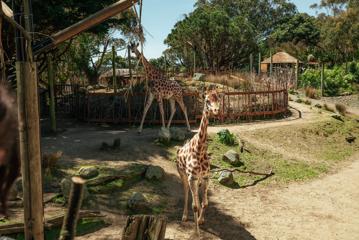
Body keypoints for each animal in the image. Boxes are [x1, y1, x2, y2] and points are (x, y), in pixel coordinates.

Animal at [176, 89, 221, 233]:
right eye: (207, 100)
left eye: (218, 99)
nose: (216, 110)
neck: (199, 150)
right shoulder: (192, 178)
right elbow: (194, 205)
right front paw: (197, 231)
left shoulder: (206, 177)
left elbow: (205, 203)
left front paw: (201, 220)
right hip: (183, 175)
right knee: (186, 193)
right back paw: (184, 216)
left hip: (198, 179)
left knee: (196, 196)